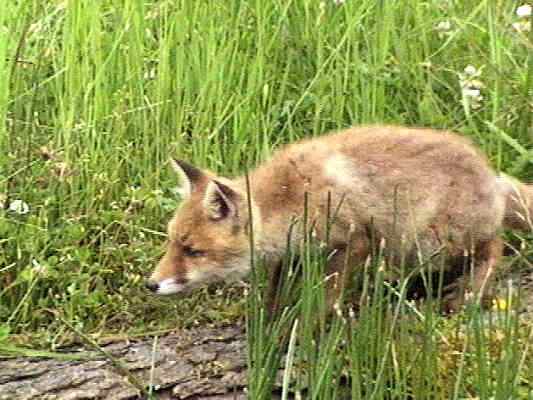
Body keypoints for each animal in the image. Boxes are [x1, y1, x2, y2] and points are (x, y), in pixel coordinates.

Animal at [144, 125, 532, 312]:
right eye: (171, 242)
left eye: (193, 251)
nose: (150, 284)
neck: (288, 198)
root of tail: (490, 174)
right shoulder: (292, 255)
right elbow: (275, 292)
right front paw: (270, 320)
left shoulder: (354, 241)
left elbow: (326, 297)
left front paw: (311, 325)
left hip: (431, 242)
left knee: (494, 247)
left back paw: (468, 293)